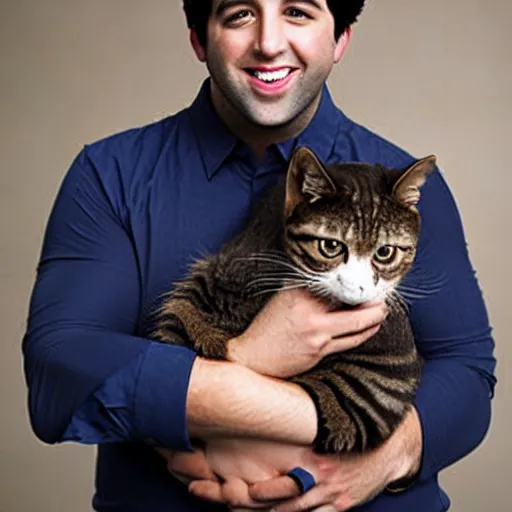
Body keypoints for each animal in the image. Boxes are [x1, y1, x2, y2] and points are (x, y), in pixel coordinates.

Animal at [153, 146, 436, 454]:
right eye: (330, 246)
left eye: (385, 252)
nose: (357, 287)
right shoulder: (223, 272)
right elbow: (184, 317)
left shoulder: (380, 385)